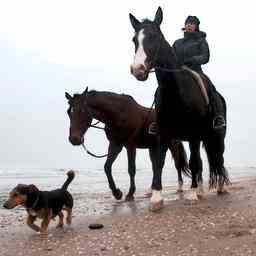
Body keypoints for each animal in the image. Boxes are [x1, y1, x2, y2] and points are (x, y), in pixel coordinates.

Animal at [130, 7, 230, 210]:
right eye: (134, 40)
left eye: (155, 37)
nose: (138, 70)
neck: (176, 90)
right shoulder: (164, 134)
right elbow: (159, 162)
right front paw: (156, 197)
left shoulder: (193, 135)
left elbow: (193, 162)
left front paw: (191, 194)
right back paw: (201, 190)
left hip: (216, 135)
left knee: (218, 157)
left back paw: (220, 188)